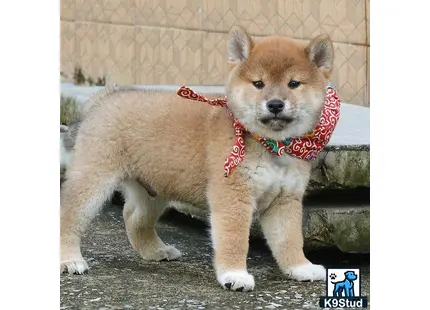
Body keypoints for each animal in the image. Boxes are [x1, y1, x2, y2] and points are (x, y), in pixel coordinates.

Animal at [60, 26, 336, 290]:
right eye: (258, 84)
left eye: (293, 83)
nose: (276, 104)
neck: (271, 146)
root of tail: (102, 98)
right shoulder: (233, 196)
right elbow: (234, 239)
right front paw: (234, 275)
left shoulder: (285, 200)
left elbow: (290, 239)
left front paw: (300, 267)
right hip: (94, 179)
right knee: (69, 215)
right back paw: (69, 260)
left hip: (154, 189)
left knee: (133, 217)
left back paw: (156, 251)